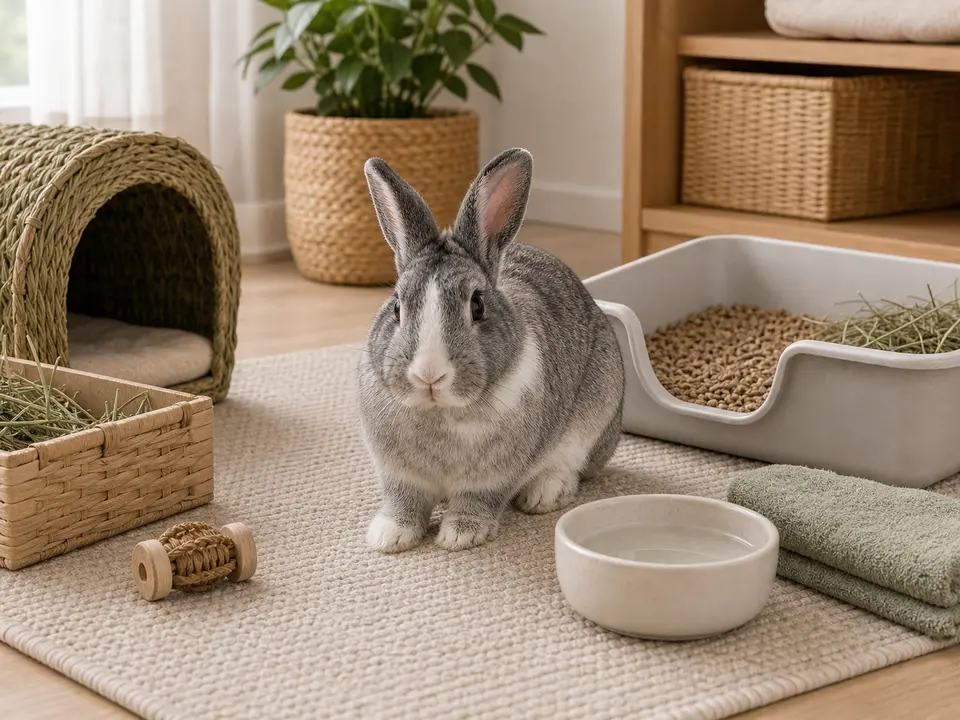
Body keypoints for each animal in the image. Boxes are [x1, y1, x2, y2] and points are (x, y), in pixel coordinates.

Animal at [357, 147, 625, 553]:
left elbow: (478, 500)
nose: (429, 375)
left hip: (594, 419)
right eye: (397, 308)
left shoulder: (492, 477)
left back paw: (543, 494)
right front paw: (389, 536)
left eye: (478, 306)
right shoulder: (399, 474)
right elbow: (403, 500)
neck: (442, 412)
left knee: (571, 468)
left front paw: (459, 535)